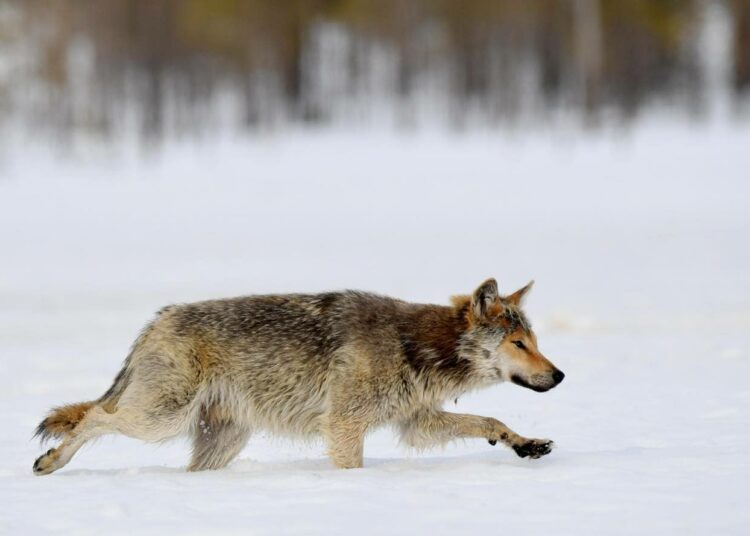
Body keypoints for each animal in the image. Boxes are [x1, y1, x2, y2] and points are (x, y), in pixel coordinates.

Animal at [33, 278, 564, 476]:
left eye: (534, 340)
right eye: (519, 344)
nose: (559, 375)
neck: (414, 344)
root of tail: (157, 318)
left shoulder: (416, 424)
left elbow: (491, 421)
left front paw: (526, 445)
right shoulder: (345, 427)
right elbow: (353, 467)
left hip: (220, 442)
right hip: (160, 419)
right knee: (94, 417)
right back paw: (51, 461)